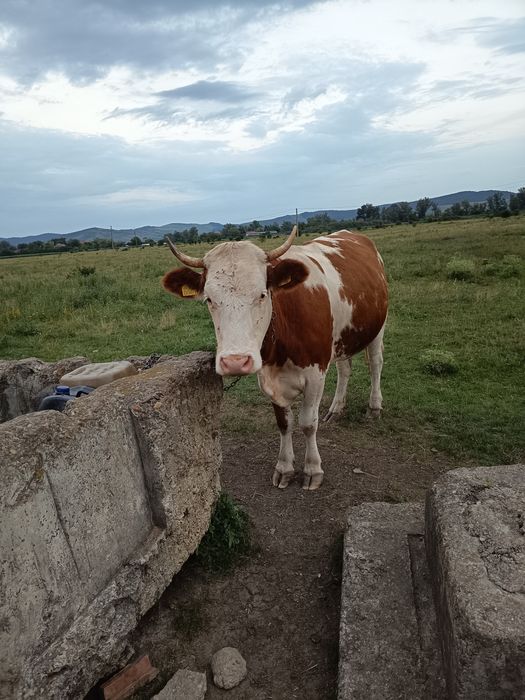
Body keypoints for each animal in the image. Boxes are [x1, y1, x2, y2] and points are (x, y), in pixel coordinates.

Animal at [163, 227, 388, 490]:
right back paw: (336, 408)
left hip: (377, 327)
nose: (235, 361)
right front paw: (284, 467)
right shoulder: (269, 378)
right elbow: (284, 423)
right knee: (345, 368)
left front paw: (312, 469)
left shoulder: (316, 375)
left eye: (262, 294)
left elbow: (308, 423)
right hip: (344, 337)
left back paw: (374, 406)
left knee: (375, 364)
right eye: (209, 299)